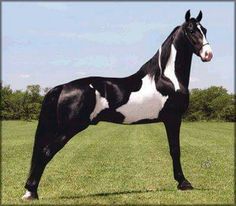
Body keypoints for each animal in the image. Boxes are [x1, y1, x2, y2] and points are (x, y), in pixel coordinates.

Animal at [22, 10, 214, 200]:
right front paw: (183, 183)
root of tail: (62, 87)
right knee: (46, 152)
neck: (167, 78)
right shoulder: (173, 119)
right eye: (191, 30)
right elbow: (175, 150)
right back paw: (31, 192)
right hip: (68, 128)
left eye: (204, 29)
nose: (208, 54)